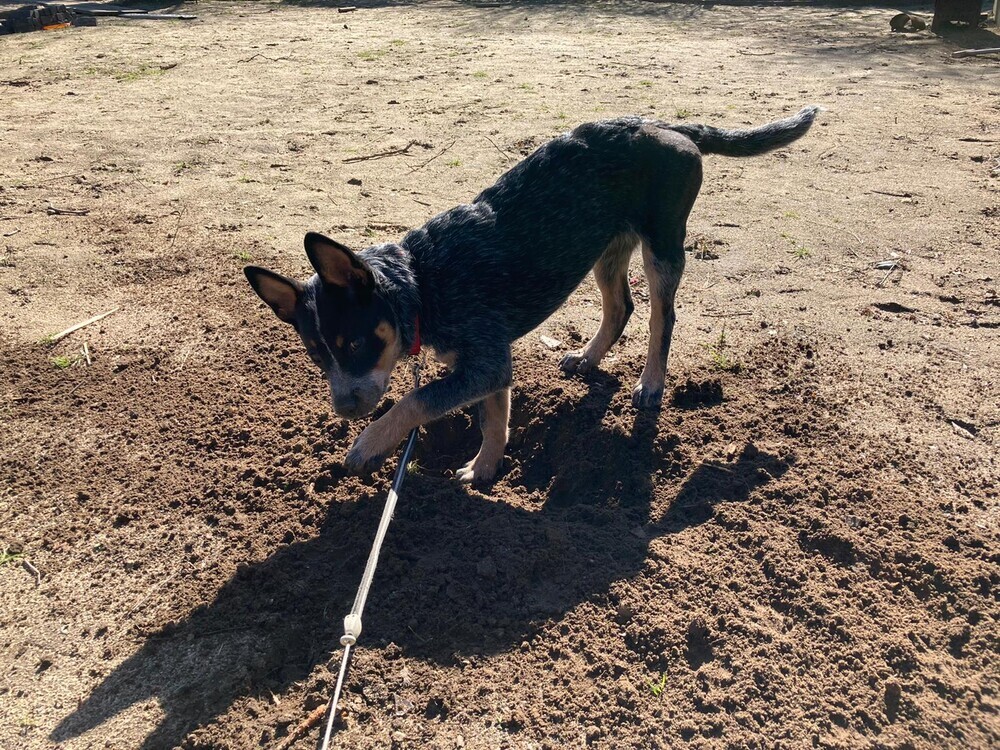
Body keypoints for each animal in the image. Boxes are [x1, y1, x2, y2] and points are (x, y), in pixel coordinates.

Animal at [245, 106, 820, 483]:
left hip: (662, 246)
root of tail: (666, 124)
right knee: (621, 307)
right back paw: (587, 358)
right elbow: (493, 418)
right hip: (604, 247)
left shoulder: (483, 359)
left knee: (662, 318)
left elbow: (414, 401)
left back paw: (651, 383)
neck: (422, 283)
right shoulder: (488, 364)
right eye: (318, 357)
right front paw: (485, 469)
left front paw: (364, 446)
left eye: (356, 345)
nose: (344, 410)